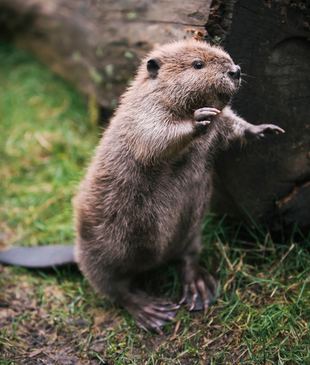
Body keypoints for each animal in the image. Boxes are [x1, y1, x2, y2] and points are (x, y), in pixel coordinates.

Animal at [72, 38, 284, 332]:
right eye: (198, 64)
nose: (235, 70)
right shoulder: (142, 114)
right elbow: (154, 137)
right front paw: (200, 118)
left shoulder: (220, 124)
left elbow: (230, 123)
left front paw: (264, 129)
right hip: (98, 252)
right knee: (115, 288)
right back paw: (153, 312)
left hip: (192, 231)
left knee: (188, 258)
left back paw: (198, 289)